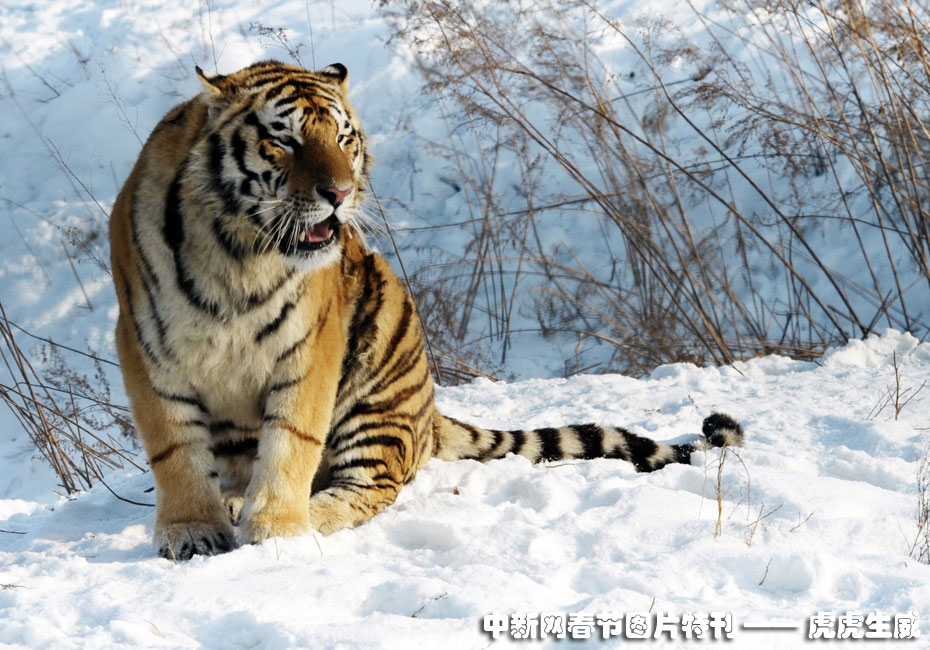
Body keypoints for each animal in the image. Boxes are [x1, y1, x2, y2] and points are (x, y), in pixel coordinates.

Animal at [109, 60, 744, 560]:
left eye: (344, 139)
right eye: (283, 141)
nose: (338, 194)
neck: (240, 250)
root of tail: (430, 415)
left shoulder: (310, 348)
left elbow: (290, 441)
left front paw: (276, 534)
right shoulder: (147, 343)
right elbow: (175, 449)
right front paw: (192, 532)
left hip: (377, 382)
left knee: (370, 485)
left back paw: (305, 516)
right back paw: (238, 500)